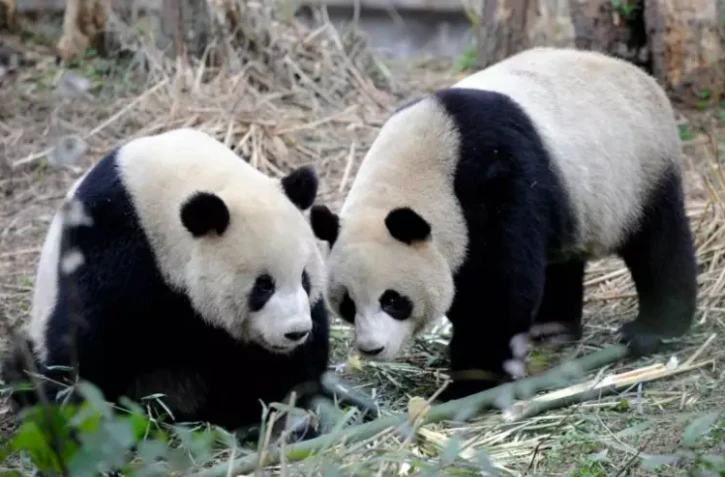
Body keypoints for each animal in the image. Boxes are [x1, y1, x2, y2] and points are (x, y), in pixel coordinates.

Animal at [1, 127, 363, 432]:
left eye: (305, 278)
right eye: (263, 285)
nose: (294, 332)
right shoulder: (113, 242)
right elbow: (83, 339)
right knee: (24, 365)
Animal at [309, 47, 698, 401]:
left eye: (393, 300)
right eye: (347, 304)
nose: (371, 349)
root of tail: (639, 75)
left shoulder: (495, 178)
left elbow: (497, 287)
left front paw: (469, 384)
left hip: (639, 169)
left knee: (658, 244)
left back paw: (655, 328)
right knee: (559, 259)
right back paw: (551, 329)